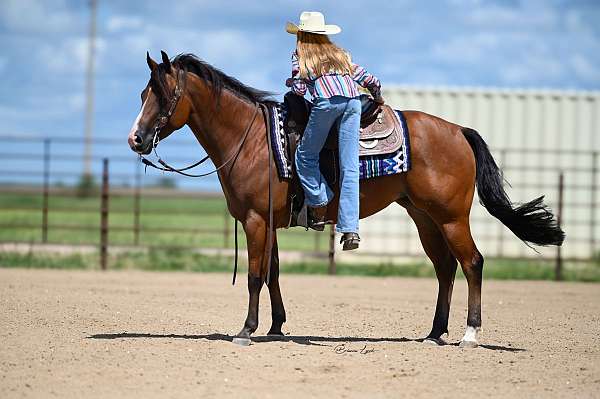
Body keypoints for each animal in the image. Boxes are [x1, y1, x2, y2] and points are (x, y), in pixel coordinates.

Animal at [126, 51, 564, 348]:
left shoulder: (255, 220)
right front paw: (276, 326)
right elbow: (272, 273)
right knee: (445, 268)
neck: (251, 140)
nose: (136, 139)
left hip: (452, 217)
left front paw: (246, 330)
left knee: (472, 263)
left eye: (163, 95)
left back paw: (469, 334)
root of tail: (458, 130)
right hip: (425, 217)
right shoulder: (270, 222)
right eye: (143, 92)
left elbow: (253, 276)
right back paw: (434, 332)